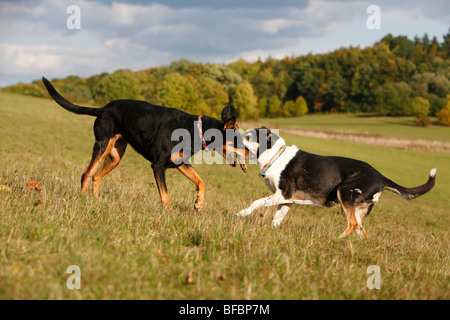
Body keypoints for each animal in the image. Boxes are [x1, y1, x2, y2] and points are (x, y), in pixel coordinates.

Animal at [41, 77, 246, 212]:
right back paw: (84, 200)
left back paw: (96, 202)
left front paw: (198, 203)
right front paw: (169, 215)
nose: (250, 152)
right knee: (86, 174)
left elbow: (200, 181)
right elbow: (165, 196)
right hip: (102, 145)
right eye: (238, 140)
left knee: (96, 177)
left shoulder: (180, 163)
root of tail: (103, 108)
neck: (194, 130)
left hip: (115, 156)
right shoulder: (158, 165)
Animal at [237, 127, 438, 238]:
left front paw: (241, 213)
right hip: (354, 207)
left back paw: (335, 239)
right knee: (361, 231)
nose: (235, 136)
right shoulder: (287, 201)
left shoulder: (283, 194)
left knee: (353, 225)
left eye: (248, 137)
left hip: (345, 192)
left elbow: (256, 203)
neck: (275, 157)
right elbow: (276, 220)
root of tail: (381, 176)